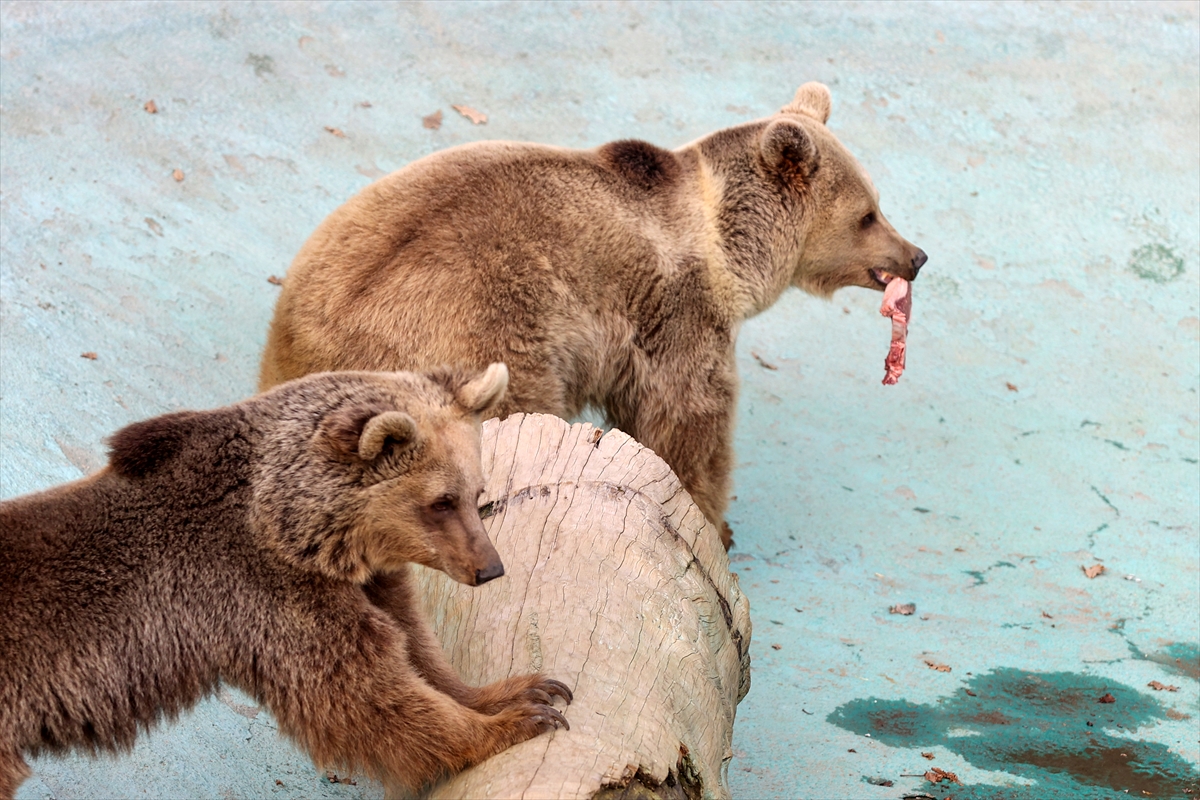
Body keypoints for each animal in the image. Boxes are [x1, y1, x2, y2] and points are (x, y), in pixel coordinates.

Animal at [0, 364, 571, 800]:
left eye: (477, 493)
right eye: (440, 502)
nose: (489, 568)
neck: (296, 531)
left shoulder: (366, 582)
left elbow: (416, 648)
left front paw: (526, 689)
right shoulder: (264, 594)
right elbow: (368, 697)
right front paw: (519, 722)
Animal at [258, 82, 921, 551]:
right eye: (867, 214)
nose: (915, 256)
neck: (729, 249)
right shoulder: (674, 314)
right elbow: (688, 418)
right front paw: (713, 520)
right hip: (485, 341)